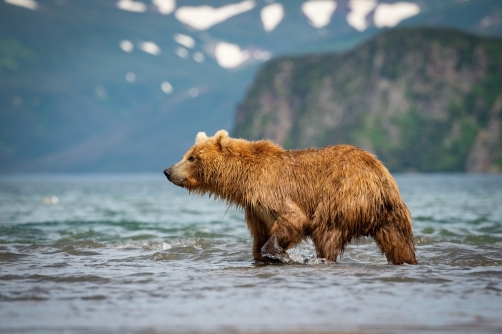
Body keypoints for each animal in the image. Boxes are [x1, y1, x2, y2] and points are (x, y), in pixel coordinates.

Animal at [163, 129, 418, 264]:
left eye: (192, 158)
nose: (168, 170)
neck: (243, 181)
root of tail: (381, 176)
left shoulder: (271, 191)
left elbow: (294, 219)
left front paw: (278, 253)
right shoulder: (255, 210)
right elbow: (259, 238)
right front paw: (262, 256)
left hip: (344, 196)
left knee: (326, 232)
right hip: (391, 217)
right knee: (398, 243)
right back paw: (408, 261)